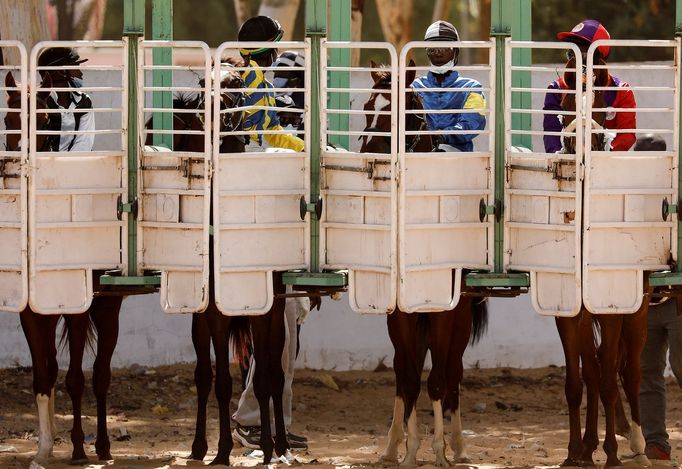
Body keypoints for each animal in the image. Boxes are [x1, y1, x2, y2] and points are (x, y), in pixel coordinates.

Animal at [3, 70, 124, 464]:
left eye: (43, 120)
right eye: (9, 119)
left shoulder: (77, 311)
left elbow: (75, 378)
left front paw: (77, 448)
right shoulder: (30, 313)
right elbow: (44, 374)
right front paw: (43, 448)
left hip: (106, 309)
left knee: (100, 374)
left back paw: (101, 446)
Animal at [358, 62, 486, 464]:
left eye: (403, 113)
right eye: (367, 107)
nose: (372, 152)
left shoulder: (446, 314)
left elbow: (438, 379)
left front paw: (441, 450)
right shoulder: (401, 315)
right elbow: (409, 378)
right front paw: (410, 449)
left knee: (453, 372)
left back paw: (457, 445)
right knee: (406, 373)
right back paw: (392, 444)